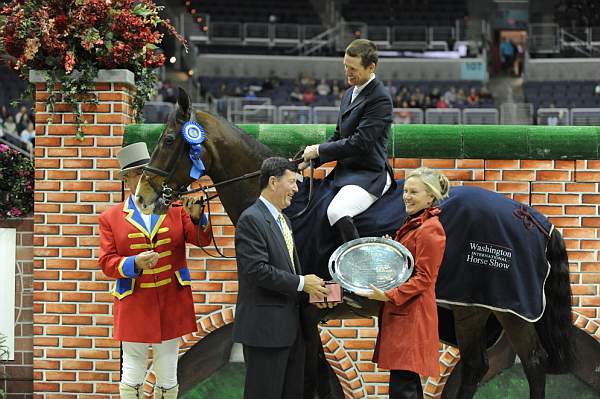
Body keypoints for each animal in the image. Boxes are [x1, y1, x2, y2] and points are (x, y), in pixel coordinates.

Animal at [137, 89, 576, 398]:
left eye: (170, 139)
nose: (143, 196)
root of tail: (532, 218)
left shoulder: (308, 313)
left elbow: (313, 380)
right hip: (472, 310)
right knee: (473, 366)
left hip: (512, 311)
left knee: (533, 363)